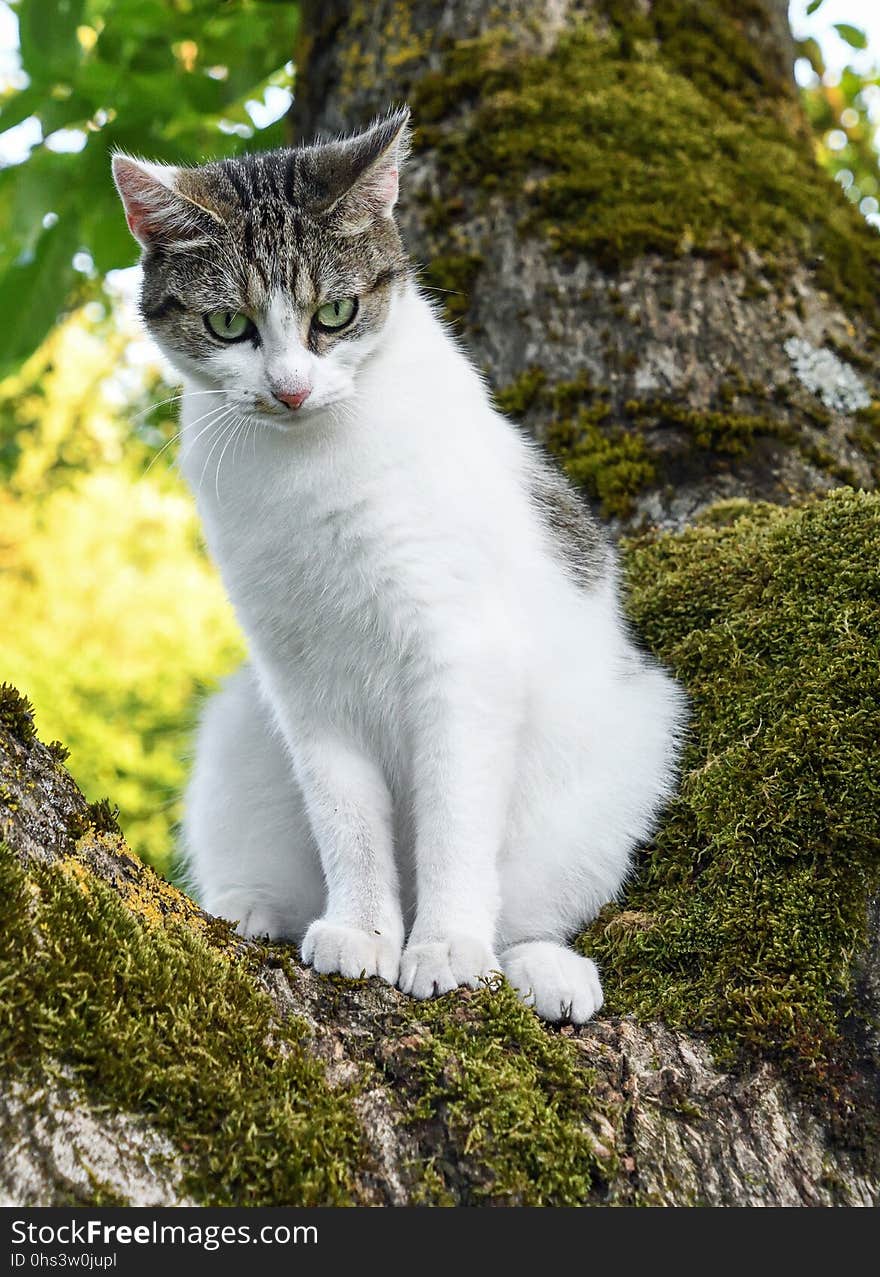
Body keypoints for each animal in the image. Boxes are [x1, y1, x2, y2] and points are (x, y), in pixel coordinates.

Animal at [111, 109, 684, 1026]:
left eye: (335, 313)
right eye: (229, 324)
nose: (290, 389)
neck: (307, 466)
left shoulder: (461, 655)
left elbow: (455, 820)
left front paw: (445, 945)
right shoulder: (302, 678)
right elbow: (348, 818)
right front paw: (365, 932)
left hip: (621, 752)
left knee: (529, 904)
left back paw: (539, 967)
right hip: (240, 727)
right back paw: (252, 905)